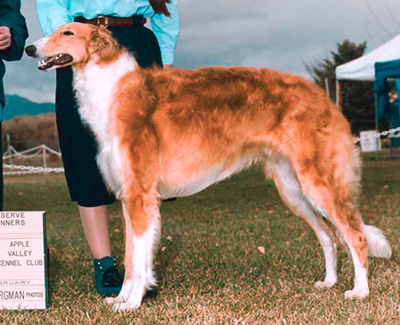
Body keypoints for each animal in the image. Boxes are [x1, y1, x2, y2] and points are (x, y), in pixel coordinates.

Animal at [25, 22, 390, 308]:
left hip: (318, 183)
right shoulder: (129, 198)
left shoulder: (141, 196)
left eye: (67, 32)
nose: (28, 48)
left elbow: (139, 262)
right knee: (329, 236)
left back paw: (359, 291)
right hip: (294, 190)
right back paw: (328, 282)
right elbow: (130, 259)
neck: (114, 89)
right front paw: (120, 299)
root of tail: (325, 98)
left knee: (355, 236)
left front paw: (131, 304)